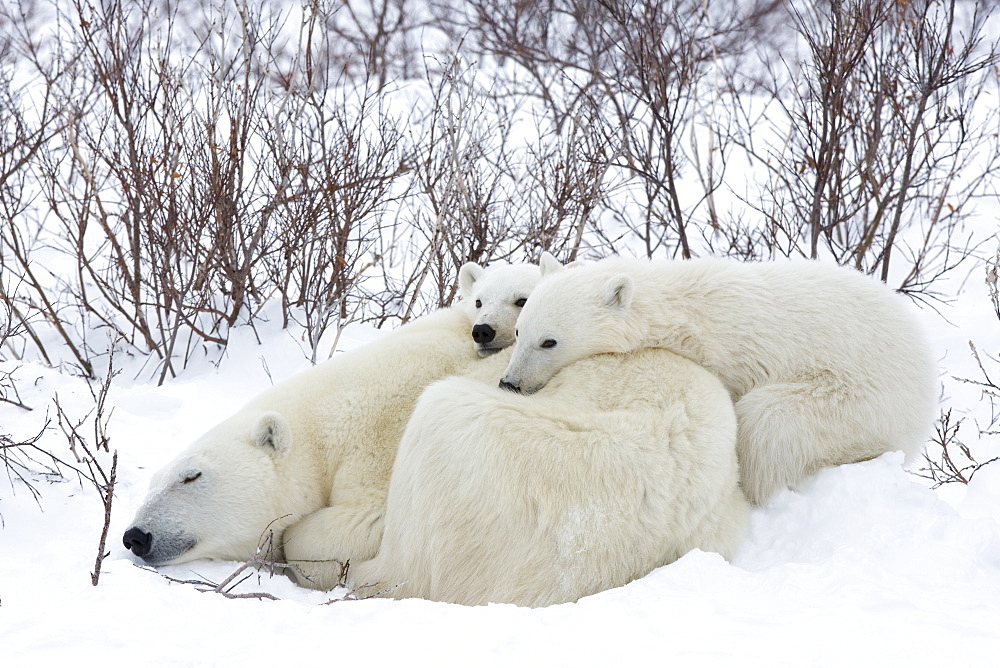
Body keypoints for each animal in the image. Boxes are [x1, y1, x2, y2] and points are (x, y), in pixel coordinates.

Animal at [122, 254, 560, 568]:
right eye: (153, 481)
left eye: (191, 476)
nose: (135, 536)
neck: (327, 424)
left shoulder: (379, 448)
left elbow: (356, 525)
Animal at [498, 258, 936, 504]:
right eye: (519, 331)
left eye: (549, 341)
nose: (510, 382)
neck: (684, 312)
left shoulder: (733, 355)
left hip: (854, 401)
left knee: (768, 424)